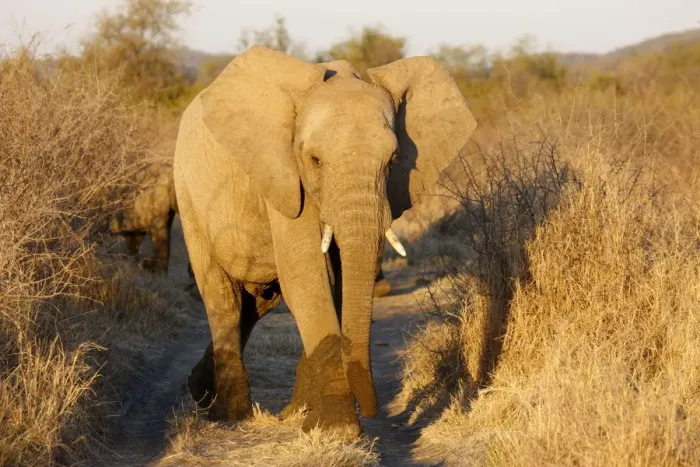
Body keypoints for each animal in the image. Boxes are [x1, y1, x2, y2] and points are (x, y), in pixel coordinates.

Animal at [174, 46, 476, 438]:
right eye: (315, 160)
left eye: (394, 160)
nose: (373, 410)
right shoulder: (285, 175)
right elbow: (305, 274)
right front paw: (338, 429)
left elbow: (337, 283)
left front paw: (308, 416)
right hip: (188, 197)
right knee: (223, 299)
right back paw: (228, 414)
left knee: (257, 304)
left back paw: (203, 391)